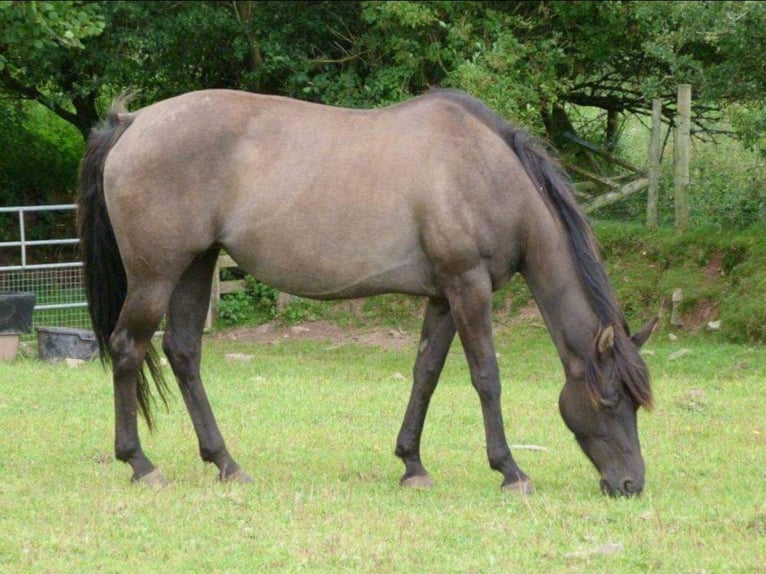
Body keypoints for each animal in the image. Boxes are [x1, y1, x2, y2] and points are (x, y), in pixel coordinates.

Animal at [78, 88, 656, 496]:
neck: (488, 175)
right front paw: (510, 470)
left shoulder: (445, 295)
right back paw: (141, 464)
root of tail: (133, 124)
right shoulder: (469, 287)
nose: (630, 484)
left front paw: (412, 465)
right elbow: (486, 377)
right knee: (128, 349)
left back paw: (226, 463)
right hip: (156, 275)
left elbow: (426, 374)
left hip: (197, 267)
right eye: (609, 400)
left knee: (183, 353)